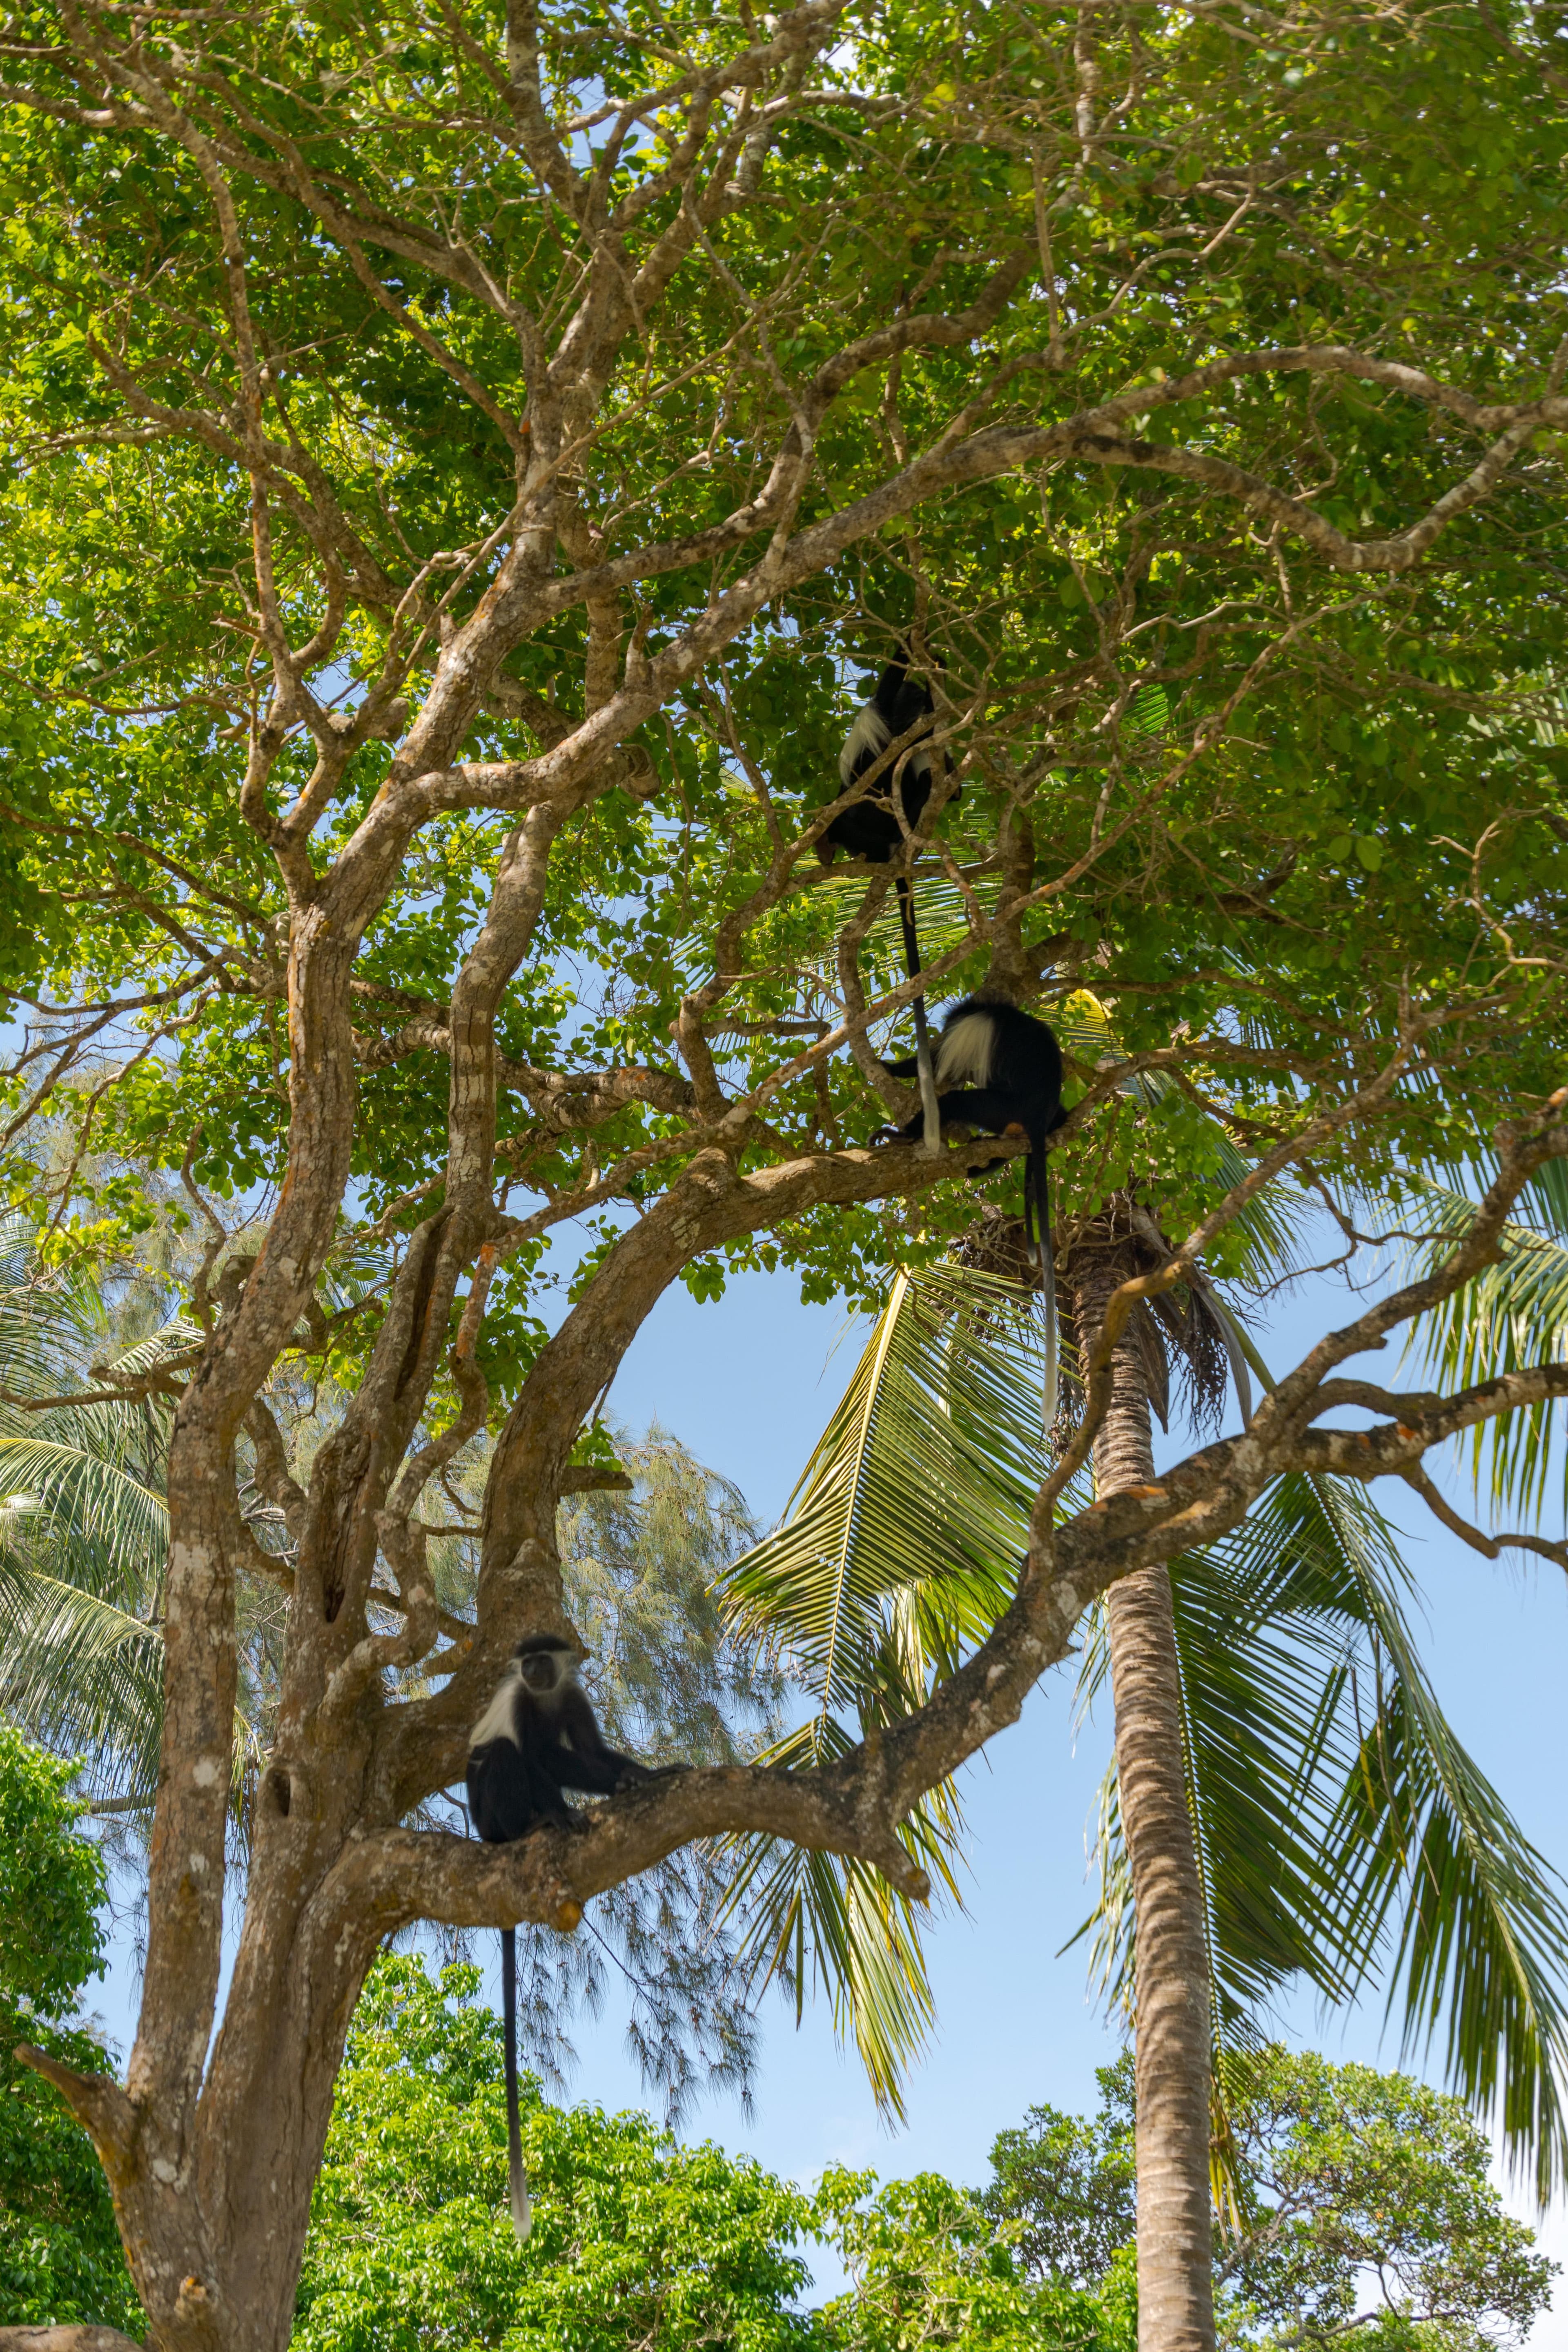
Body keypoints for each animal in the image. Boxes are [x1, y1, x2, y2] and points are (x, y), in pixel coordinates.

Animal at [466, 1634, 658, 2243]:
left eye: (543, 1659)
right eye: (525, 1662)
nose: (531, 1669)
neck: (545, 1695)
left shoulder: (571, 1696)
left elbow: (593, 1750)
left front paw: (645, 1775)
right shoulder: (522, 1703)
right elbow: (534, 1758)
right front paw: (563, 1811)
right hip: (488, 1813)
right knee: (504, 1756)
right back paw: (536, 1823)